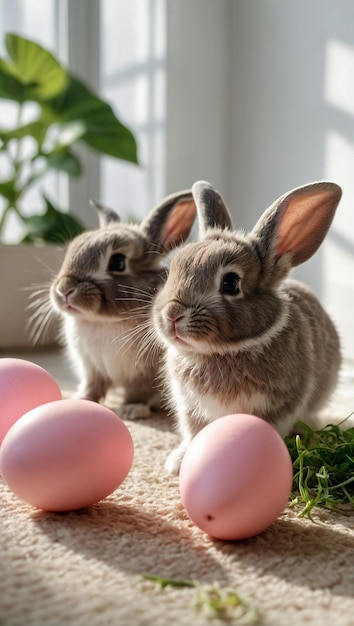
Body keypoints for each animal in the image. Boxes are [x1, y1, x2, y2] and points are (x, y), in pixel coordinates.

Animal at [42, 188, 196, 416]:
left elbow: (139, 391)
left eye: (118, 262)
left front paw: (132, 410)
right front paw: (81, 399)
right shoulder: (92, 368)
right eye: (72, 250)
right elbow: (93, 386)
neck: (103, 322)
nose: (64, 289)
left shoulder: (145, 373)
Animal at [153, 178, 342, 470]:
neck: (221, 352)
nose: (172, 315)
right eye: (171, 272)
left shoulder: (279, 406)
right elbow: (194, 432)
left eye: (231, 283)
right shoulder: (190, 408)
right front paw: (180, 462)